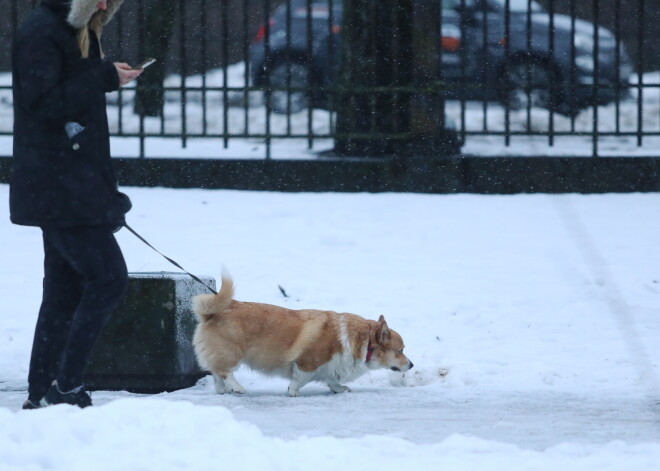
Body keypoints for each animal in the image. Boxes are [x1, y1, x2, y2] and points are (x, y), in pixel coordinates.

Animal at [191, 272, 416, 396]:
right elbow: (301, 379)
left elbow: (332, 380)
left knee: (216, 372)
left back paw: (223, 389)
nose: (412, 365)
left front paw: (339, 389)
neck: (362, 342)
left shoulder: (332, 368)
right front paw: (293, 391)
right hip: (232, 352)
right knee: (225, 371)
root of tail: (213, 312)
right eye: (400, 351)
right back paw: (237, 387)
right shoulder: (307, 362)